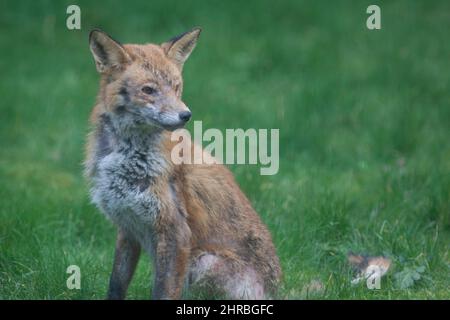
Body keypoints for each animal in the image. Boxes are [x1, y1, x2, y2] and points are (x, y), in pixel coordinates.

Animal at [84, 27, 282, 300]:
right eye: (148, 90)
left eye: (177, 87)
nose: (186, 115)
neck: (127, 157)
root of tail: (279, 291)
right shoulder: (127, 228)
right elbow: (116, 284)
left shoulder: (175, 233)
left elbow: (163, 292)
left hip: (203, 262)